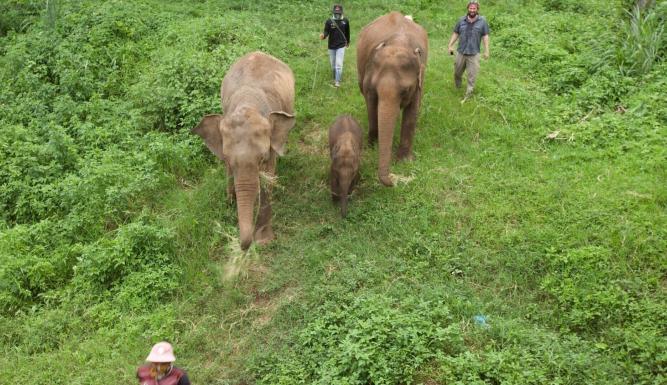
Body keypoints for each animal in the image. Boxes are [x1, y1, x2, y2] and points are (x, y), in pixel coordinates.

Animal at [193, 51, 298, 249]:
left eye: (262, 158)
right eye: (227, 159)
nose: (243, 247)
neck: (248, 105)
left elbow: (267, 179)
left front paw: (263, 240)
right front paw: (229, 202)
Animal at [358, 11, 430, 185]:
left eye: (405, 91)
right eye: (375, 88)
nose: (393, 179)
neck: (399, 43)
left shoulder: (419, 81)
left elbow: (412, 112)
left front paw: (404, 162)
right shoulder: (368, 82)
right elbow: (371, 107)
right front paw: (372, 147)